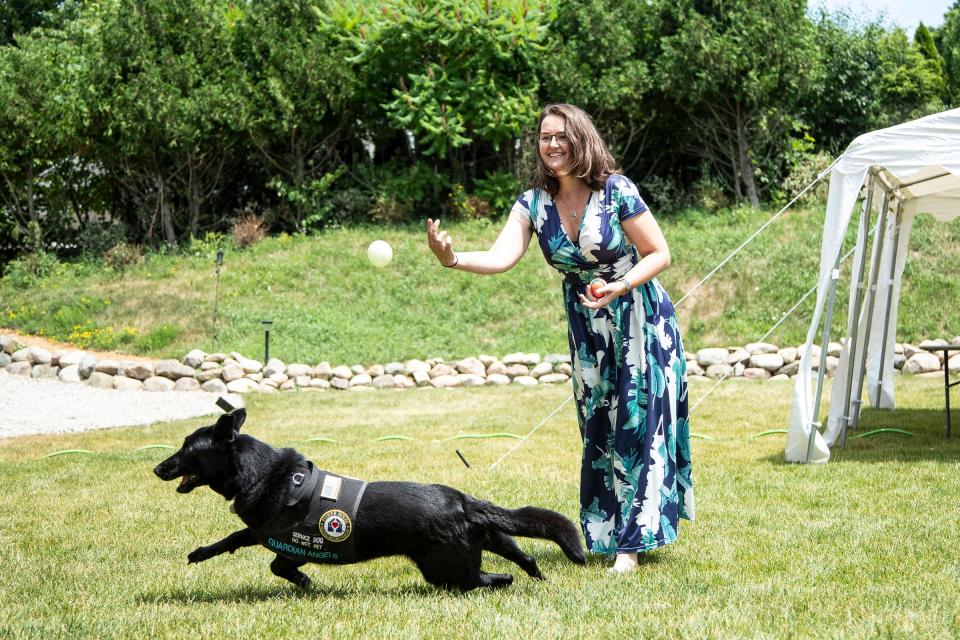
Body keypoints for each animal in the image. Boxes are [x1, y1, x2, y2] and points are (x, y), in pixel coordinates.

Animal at [154, 408, 584, 592]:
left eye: (187, 448)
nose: (157, 468)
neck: (262, 472)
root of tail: (462, 502)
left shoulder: (286, 542)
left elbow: (270, 561)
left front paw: (305, 582)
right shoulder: (269, 535)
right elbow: (241, 543)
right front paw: (201, 553)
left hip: (444, 568)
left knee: (483, 579)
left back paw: (507, 582)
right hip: (493, 538)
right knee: (525, 558)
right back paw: (538, 578)